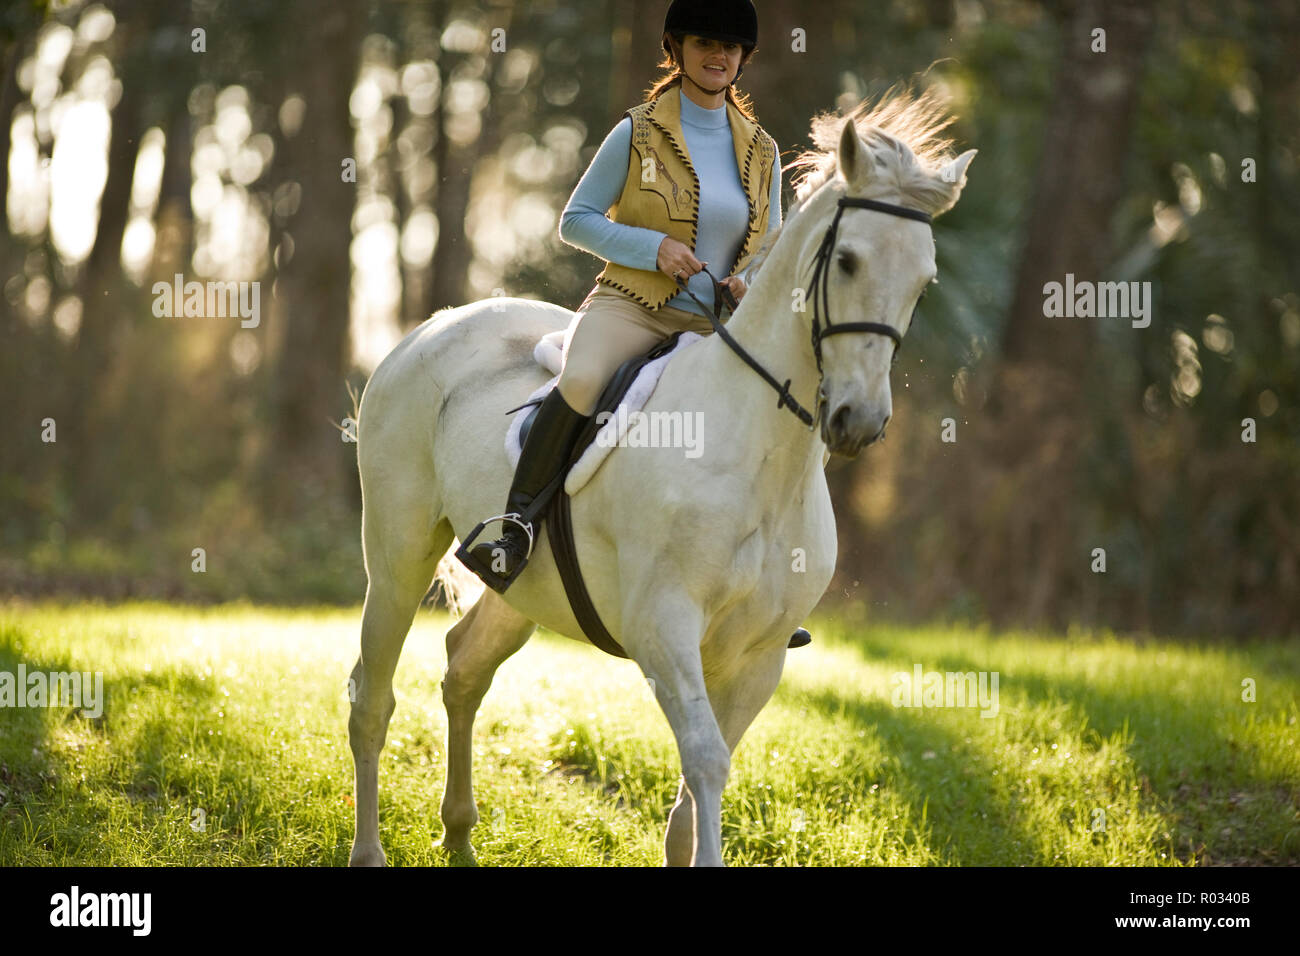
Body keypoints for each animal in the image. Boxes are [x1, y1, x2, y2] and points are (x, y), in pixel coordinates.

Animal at [347, 90, 976, 867]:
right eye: (850, 261)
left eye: (925, 280)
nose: (858, 422)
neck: (760, 459)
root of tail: (430, 329)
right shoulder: (663, 631)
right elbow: (705, 761)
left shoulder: (759, 656)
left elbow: (692, 788)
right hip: (398, 555)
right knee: (372, 697)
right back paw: (369, 850)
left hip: (520, 590)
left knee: (465, 670)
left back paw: (459, 837)